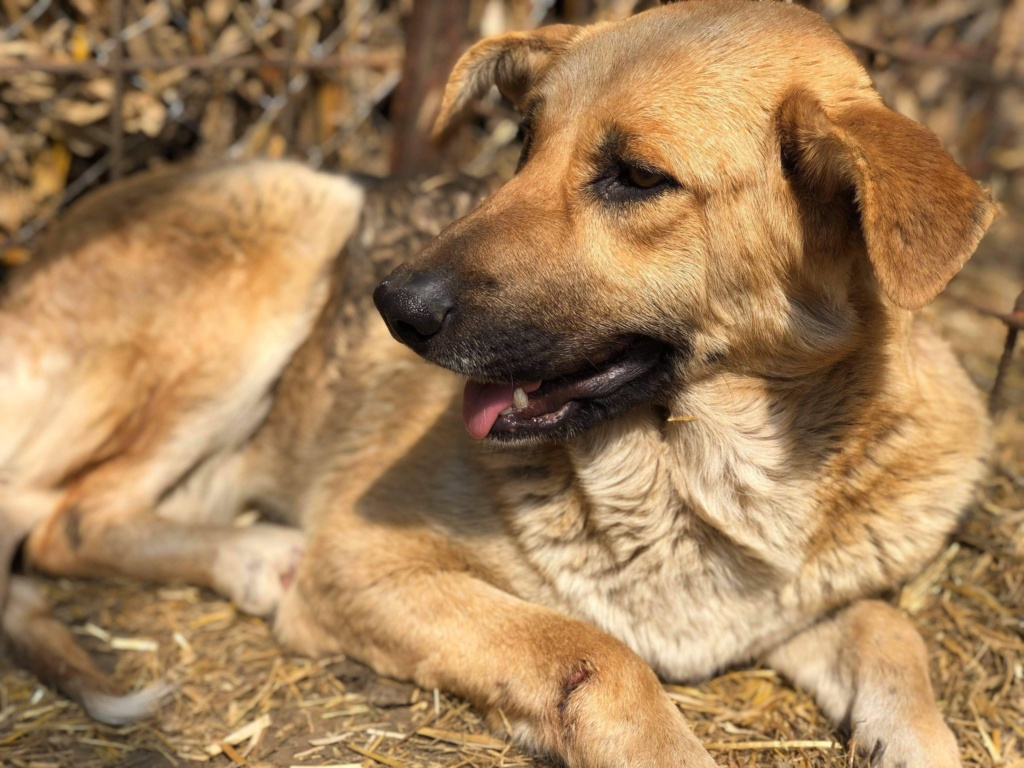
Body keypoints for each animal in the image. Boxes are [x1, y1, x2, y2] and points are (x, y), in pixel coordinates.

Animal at [2, 3, 991, 765]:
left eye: (637, 178)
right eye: (523, 143)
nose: (392, 306)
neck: (694, 472)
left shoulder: (792, 606)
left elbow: (889, 629)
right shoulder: (364, 561)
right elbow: (596, 652)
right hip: (297, 209)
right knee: (67, 521)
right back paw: (255, 556)